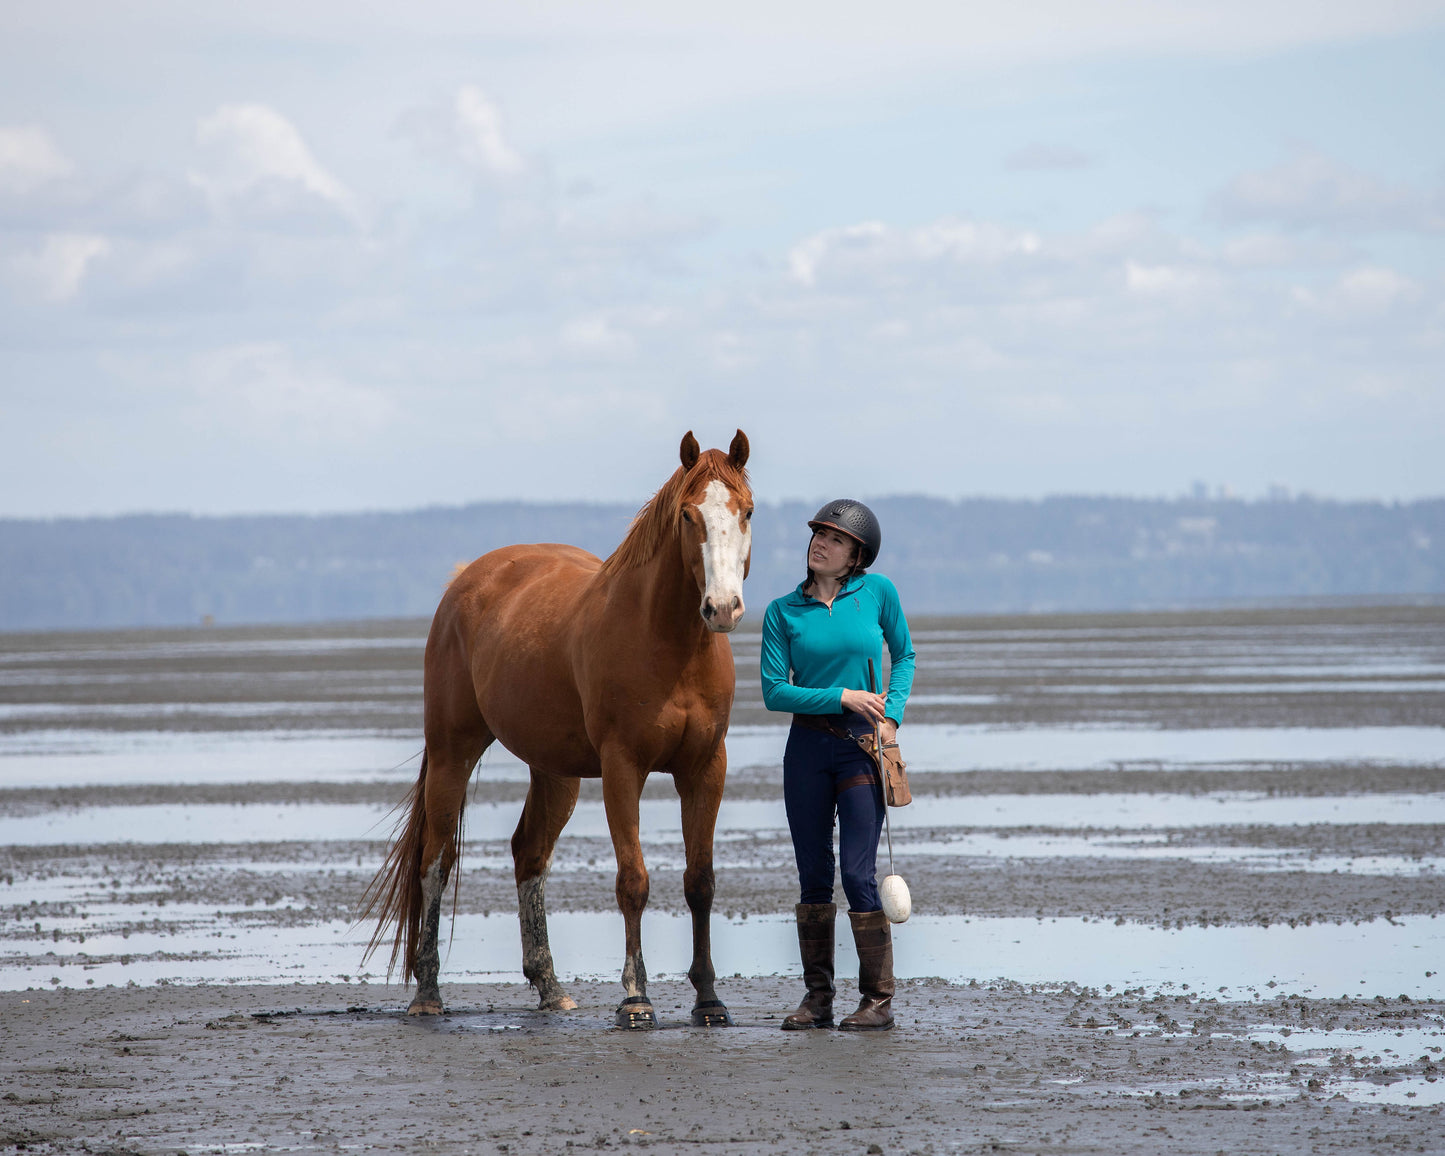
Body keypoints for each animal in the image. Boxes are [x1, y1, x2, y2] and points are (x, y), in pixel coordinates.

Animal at [361, 430, 751, 1028]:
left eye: (746, 511)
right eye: (689, 515)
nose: (722, 607)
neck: (668, 642)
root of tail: (466, 581)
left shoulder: (706, 767)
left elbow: (700, 882)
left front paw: (709, 1000)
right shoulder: (622, 768)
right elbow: (633, 881)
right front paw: (635, 999)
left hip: (554, 772)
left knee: (529, 854)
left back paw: (550, 987)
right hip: (453, 752)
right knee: (436, 861)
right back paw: (427, 994)